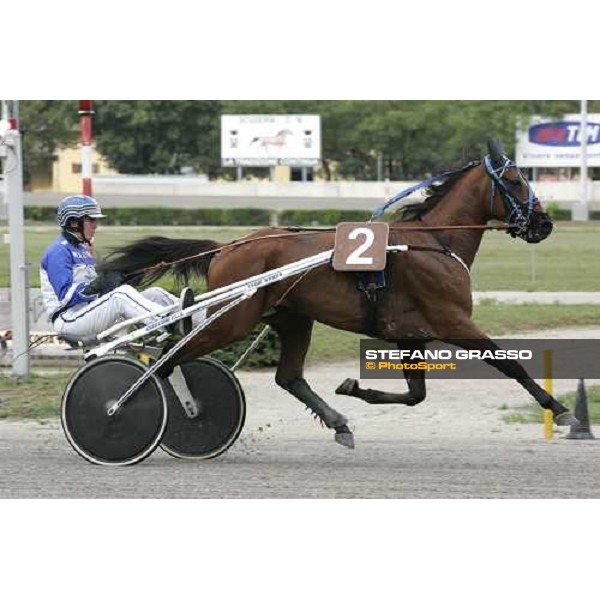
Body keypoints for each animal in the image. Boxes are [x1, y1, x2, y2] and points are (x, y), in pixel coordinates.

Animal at [99, 141, 576, 448]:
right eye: (515, 180)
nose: (545, 223)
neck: (434, 242)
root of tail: (228, 246)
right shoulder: (452, 319)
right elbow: (508, 363)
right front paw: (560, 409)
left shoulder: (410, 336)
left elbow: (416, 395)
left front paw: (353, 387)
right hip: (234, 319)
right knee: (169, 358)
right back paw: (131, 406)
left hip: (292, 318)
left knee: (288, 376)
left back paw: (339, 422)